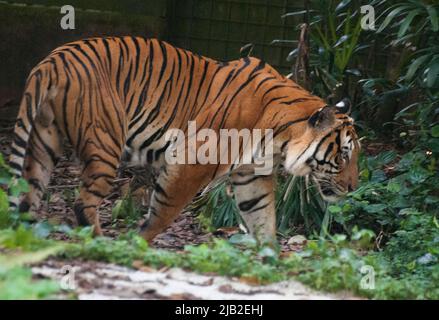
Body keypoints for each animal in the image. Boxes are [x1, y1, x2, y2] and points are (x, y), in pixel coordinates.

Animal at [8, 36, 360, 244]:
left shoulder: (251, 175)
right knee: (83, 202)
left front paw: (270, 260)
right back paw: (100, 243)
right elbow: (164, 210)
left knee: (28, 195)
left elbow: (263, 218)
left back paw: (27, 238)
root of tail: (53, 59)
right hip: (105, 141)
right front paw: (139, 242)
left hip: (44, 142)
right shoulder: (193, 160)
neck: (279, 139)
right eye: (343, 155)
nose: (353, 187)